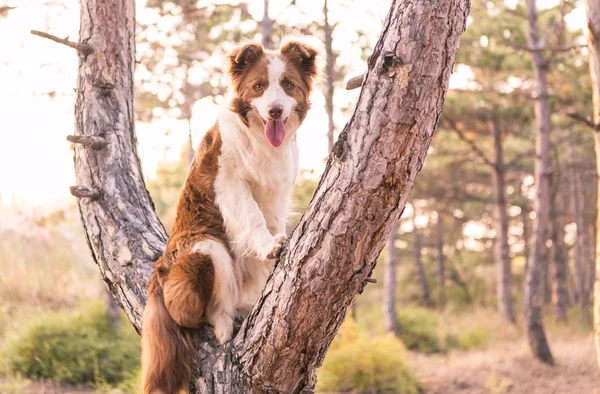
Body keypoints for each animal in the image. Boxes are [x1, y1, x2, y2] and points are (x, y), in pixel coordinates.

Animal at [140, 39, 318, 394]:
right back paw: (223, 324)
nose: (275, 110)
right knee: (201, 310)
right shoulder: (229, 182)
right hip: (205, 246)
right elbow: (253, 219)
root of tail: (159, 273)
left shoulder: (279, 191)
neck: (261, 138)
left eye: (287, 85)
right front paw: (268, 246)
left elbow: (272, 221)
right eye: (259, 86)